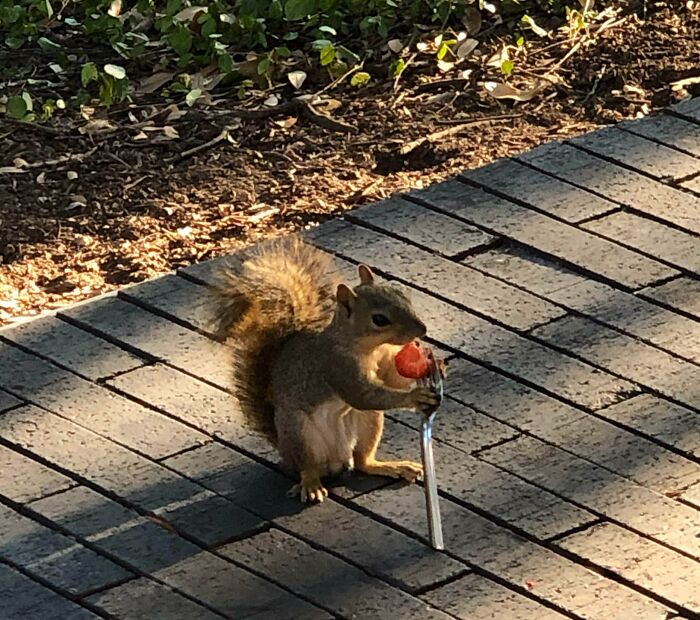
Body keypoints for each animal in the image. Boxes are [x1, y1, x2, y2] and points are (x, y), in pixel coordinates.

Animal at [211, 235, 440, 502]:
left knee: (362, 462)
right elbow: (363, 395)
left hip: (369, 421)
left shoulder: (382, 362)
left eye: (402, 295)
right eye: (379, 319)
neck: (368, 346)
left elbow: (392, 380)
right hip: (299, 433)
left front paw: (434, 364)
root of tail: (335, 460)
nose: (422, 330)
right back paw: (311, 485)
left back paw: (392, 466)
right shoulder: (336, 367)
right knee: (308, 467)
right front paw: (416, 395)